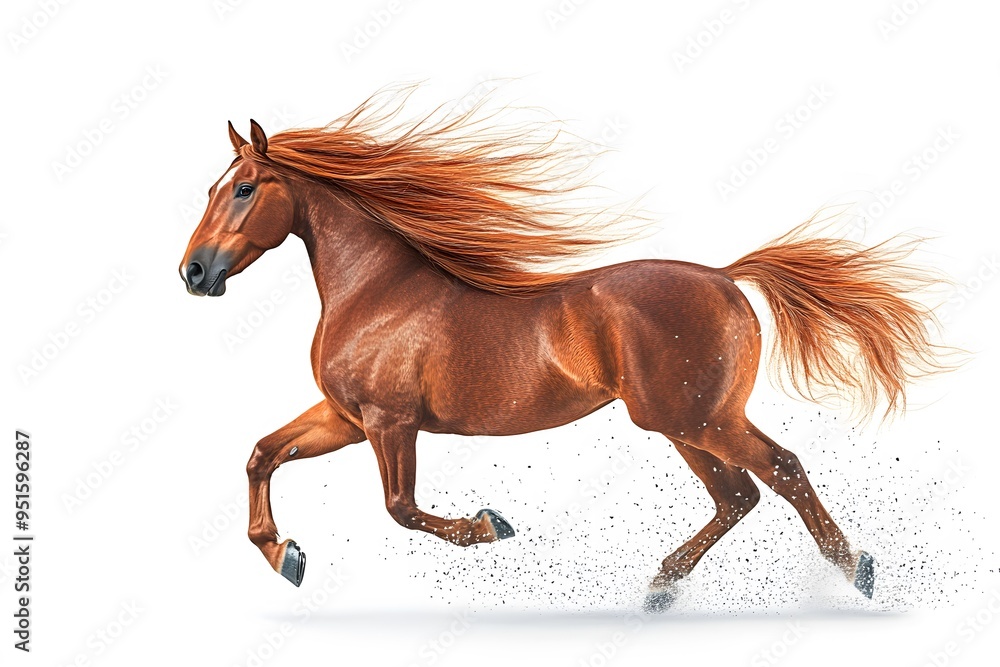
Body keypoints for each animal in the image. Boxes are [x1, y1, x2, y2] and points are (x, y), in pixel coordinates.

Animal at [179, 91, 943, 611]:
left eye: (243, 188)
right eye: (213, 187)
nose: (193, 273)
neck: (376, 291)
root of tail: (725, 276)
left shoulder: (388, 421)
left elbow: (400, 505)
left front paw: (492, 525)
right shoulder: (346, 416)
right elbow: (262, 454)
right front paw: (287, 556)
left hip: (693, 418)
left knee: (778, 471)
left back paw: (857, 569)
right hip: (685, 421)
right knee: (739, 494)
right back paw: (661, 586)